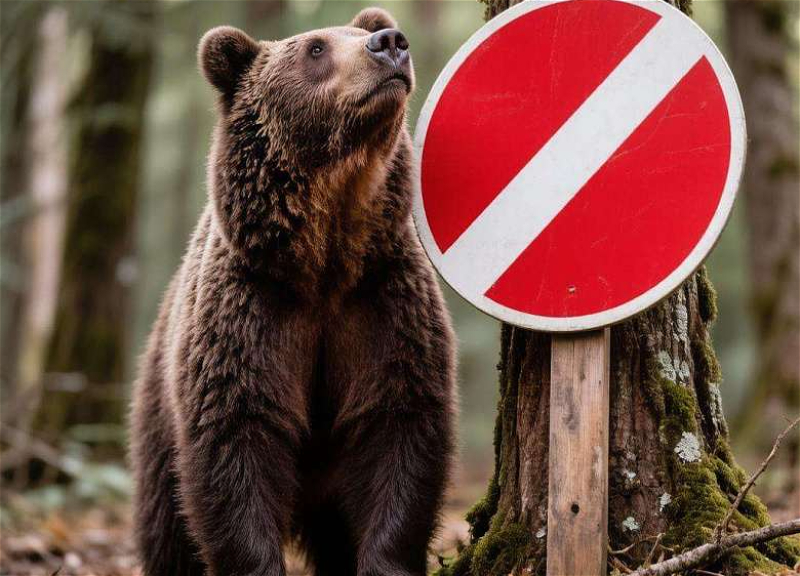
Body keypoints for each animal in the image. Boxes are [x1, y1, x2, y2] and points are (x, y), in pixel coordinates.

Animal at [129, 8, 456, 576]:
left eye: (358, 32)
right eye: (315, 48)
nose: (389, 42)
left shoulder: (381, 303)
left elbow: (398, 428)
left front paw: (384, 560)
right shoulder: (250, 311)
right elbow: (235, 441)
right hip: (156, 409)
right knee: (165, 523)